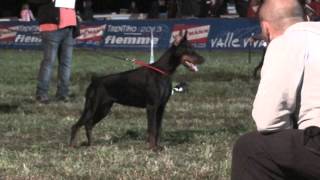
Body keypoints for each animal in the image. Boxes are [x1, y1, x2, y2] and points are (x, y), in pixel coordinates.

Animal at [69, 32, 205, 150]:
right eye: (188, 49)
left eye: (193, 48)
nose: (203, 59)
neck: (163, 72)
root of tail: (94, 81)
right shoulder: (151, 106)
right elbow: (152, 129)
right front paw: (152, 148)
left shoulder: (161, 107)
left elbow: (158, 128)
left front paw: (158, 146)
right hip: (92, 107)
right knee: (76, 125)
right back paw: (72, 146)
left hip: (104, 108)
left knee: (89, 124)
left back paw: (90, 144)